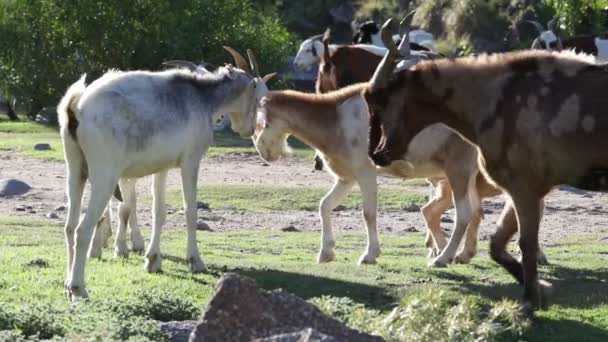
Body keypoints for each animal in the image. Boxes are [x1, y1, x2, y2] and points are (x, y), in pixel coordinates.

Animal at [58, 48, 274, 300]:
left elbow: (159, 212)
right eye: (260, 97)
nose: (249, 130)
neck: (202, 98)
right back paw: (78, 288)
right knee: (82, 229)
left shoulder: (161, 168)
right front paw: (195, 261)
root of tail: (76, 108)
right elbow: (190, 210)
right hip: (105, 175)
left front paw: (153, 261)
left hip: (76, 171)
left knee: (70, 227)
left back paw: (67, 286)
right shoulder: (190, 161)